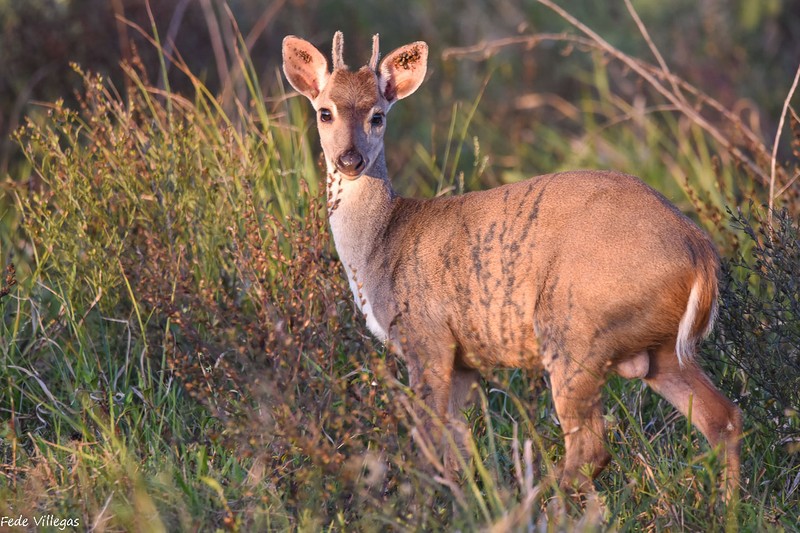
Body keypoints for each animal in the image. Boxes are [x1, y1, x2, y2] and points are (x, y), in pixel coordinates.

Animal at [282, 32, 744, 498]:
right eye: (325, 112)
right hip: (660, 349)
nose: (350, 161)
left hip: (575, 330)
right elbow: (458, 453)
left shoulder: (426, 336)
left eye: (377, 115)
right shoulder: (463, 361)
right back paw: (725, 505)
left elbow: (428, 445)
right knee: (723, 418)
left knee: (591, 449)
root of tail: (700, 252)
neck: (381, 244)